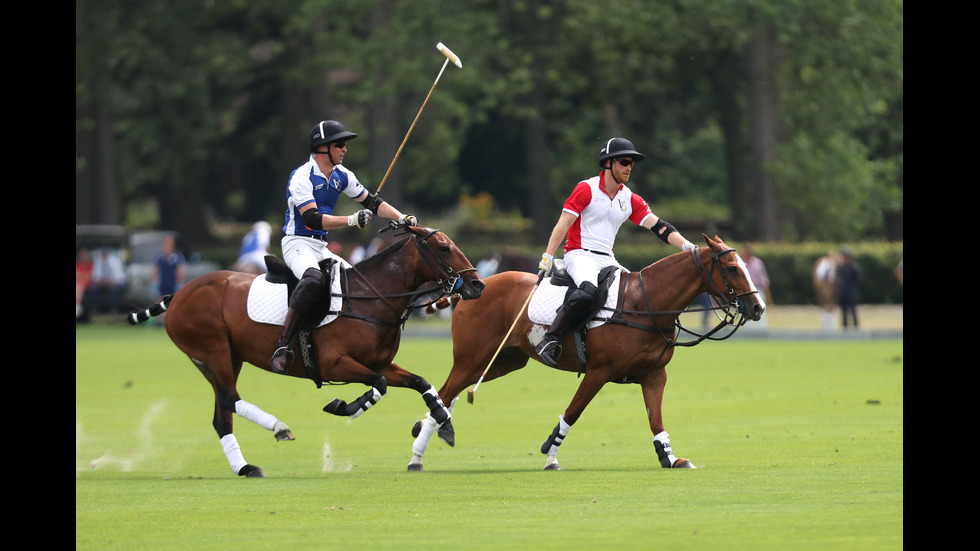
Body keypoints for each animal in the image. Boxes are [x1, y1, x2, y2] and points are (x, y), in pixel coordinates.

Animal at [126, 224, 486, 478]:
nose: (477, 284)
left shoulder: (381, 362)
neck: (372, 298)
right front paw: (346, 406)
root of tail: (179, 293)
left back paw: (245, 468)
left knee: (221, 414)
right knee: (229, 398)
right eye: (444, 248)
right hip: (213, 350)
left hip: (224, 358)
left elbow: (420, 382)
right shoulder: (334, 363)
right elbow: (378, 386)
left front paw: (443, 422)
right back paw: (278, 427)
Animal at [406, 235, 764, 472]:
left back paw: (431, 428)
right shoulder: (598, 373)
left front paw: (671, 457)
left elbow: (656, 418)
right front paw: (551, 455)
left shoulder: (654, 374)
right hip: (472, 358)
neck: (645, 304)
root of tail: (469, 288)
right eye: (732, 267)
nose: (758, 307)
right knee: (447, 390)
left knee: (450, 394)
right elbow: (573, 412)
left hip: (504, 360)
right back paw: (417, 454)